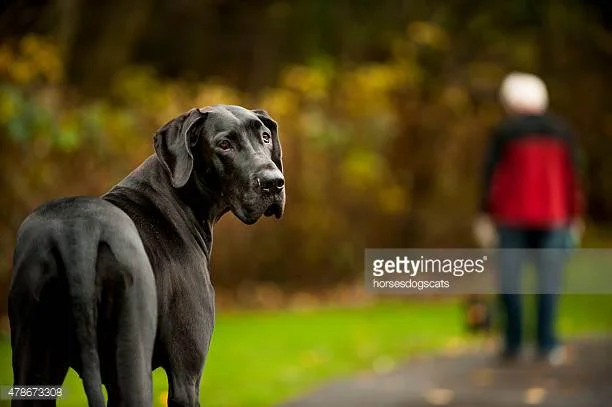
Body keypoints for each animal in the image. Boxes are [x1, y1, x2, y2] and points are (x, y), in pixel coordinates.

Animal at [8, 105, 285, 406]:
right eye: (224, 144)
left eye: (265, 137)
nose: (274, 183)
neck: (176, 197)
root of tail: (77, 235)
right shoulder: (186, 377)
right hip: (134, 361)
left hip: (35, 369)